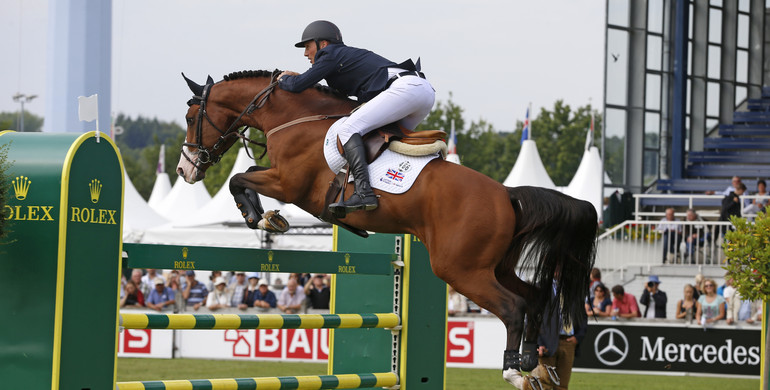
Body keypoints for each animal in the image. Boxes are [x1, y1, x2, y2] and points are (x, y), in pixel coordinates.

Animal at [177, 69, 596, 386]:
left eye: (190, 118)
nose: (185, 170)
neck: (294, 117)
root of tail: (507, 193)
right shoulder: (282, 180)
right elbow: (245, 174)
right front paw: (266, 216)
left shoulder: (289, 184)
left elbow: (239, 178)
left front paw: (260, 216)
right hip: (493, 266)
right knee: (536, 297)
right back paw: (532, 364)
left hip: (460, 269)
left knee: (513, 307)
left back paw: (512, 369)